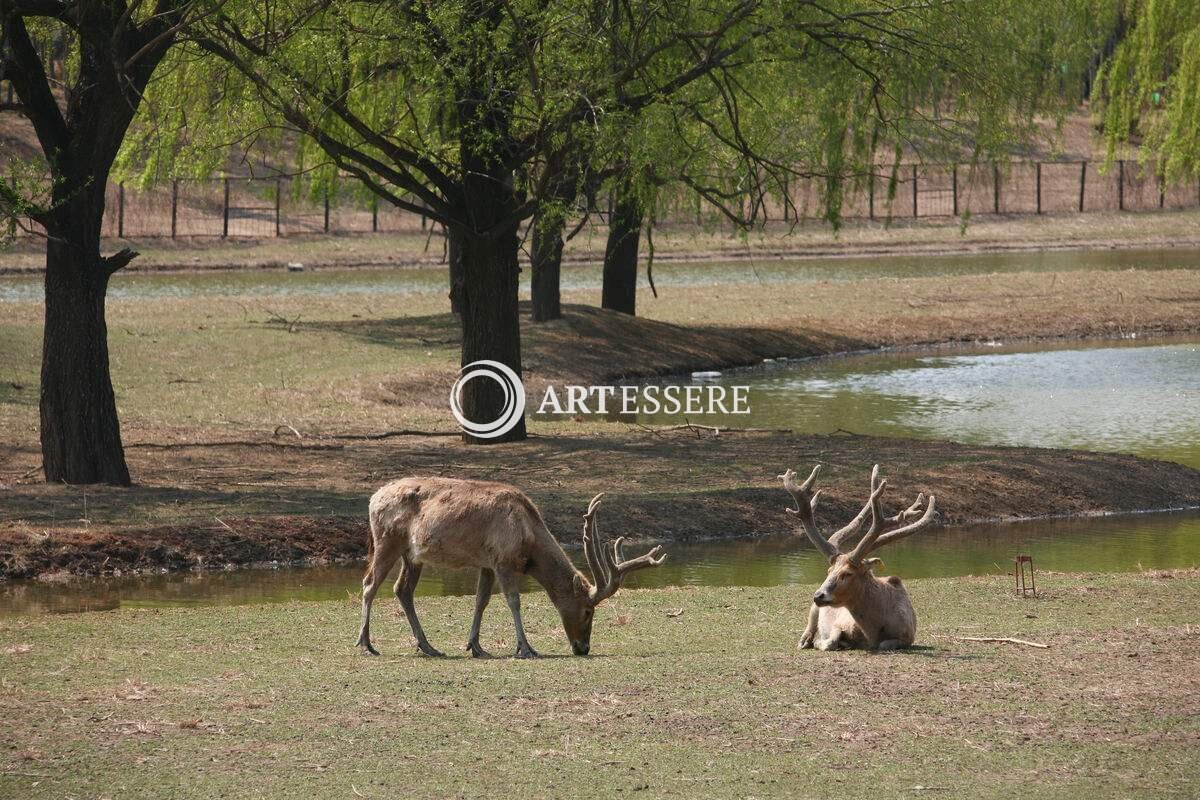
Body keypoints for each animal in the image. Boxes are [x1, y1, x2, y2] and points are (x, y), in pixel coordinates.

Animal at [355, 479, 667, 662]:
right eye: (589, 611)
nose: (583, 647)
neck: (529, 543)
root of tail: (372, 499)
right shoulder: (504, 560)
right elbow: (513, 601)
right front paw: (525, 648)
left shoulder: (487, 563)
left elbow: (481, 601)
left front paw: (476, 646)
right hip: (387, 540)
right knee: (369, 583)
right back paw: (366, 644)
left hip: (412, 554)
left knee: (402, 590)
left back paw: (428, 646)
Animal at [777, 462, 936, 652]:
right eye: (829, 570)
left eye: (848, 573)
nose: (819, 595)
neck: (872, 632)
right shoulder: (839, 622)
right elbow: (830, 641)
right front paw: (819, 642)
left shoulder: (907, 636)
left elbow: (884, 644)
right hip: (814, 609)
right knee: (811, 624)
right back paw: (806, 640)